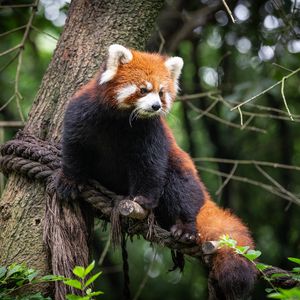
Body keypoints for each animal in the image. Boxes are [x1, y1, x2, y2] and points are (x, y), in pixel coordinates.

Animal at [58, 44, 258, 298]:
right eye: (143, 90)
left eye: (162, 92)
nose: (156, 106)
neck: (120, 119)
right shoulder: (82, 114)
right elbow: (74, 147)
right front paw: (69, 180)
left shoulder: (150, 133)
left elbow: (150, 167)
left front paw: (143, 200)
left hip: (183, 173)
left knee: (181, 187)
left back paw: (185, 228)